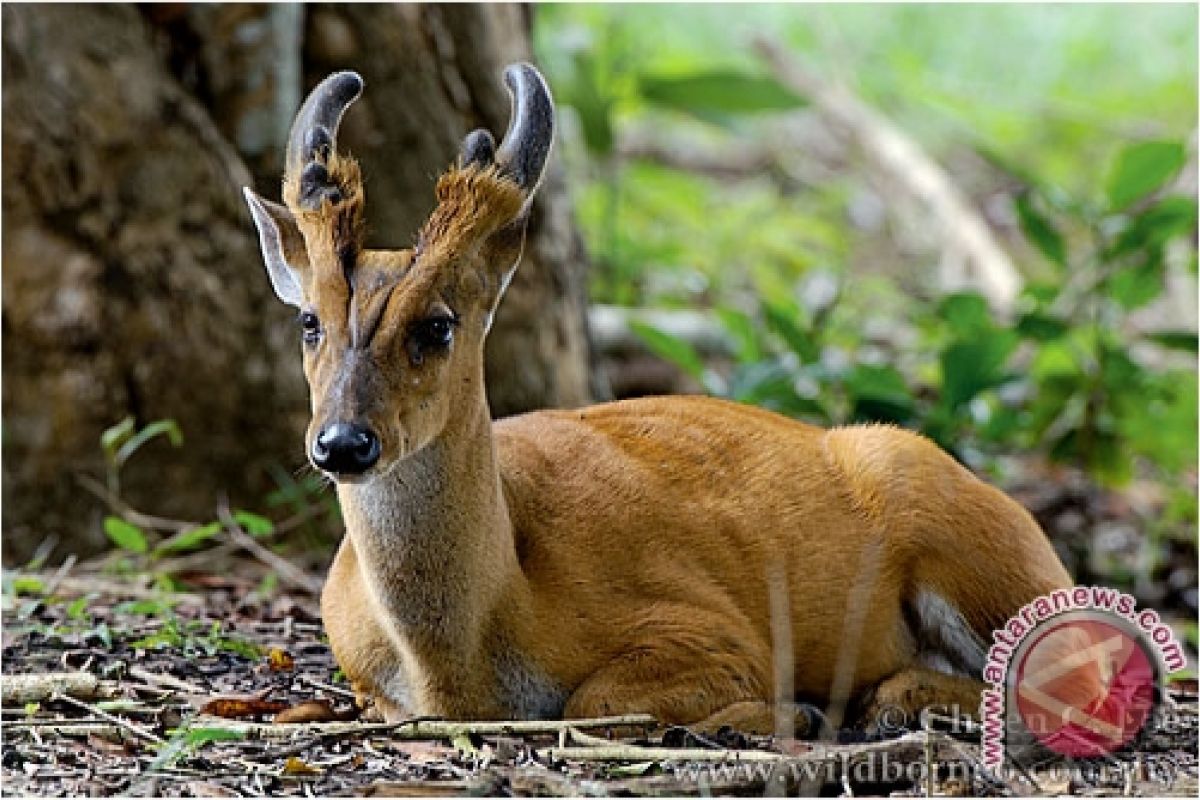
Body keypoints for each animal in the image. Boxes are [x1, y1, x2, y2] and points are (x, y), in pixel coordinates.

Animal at [241, 64, 1070, 738]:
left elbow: (594, 701)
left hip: (973, 537)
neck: (466, 659)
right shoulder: (360, 676)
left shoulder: (716, 632)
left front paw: (782, 712)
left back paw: (887, 702)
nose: (343, 442)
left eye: (438, 325)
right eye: (309, 320)